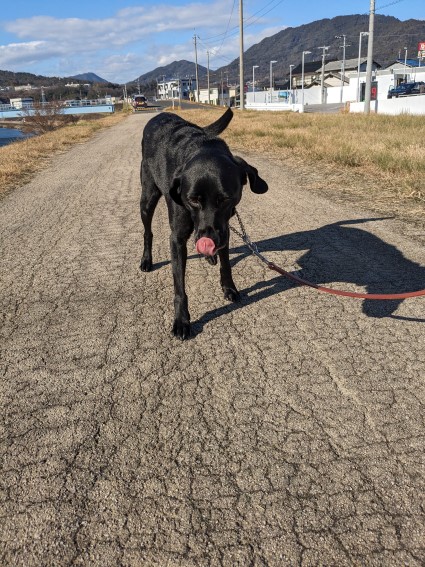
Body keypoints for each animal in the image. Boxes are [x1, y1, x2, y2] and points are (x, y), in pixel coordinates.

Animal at [140, 108, 268, 339]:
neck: (201, 146)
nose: (209, 237)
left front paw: (229, 288)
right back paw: (147, 260)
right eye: (193, 200)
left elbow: (227, 264)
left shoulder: (224, 229)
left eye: (225, 199)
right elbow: (179, 287)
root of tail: (158, 115)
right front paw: (182, 320)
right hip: (147, 198)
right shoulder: (177, 238)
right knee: (148, 231)